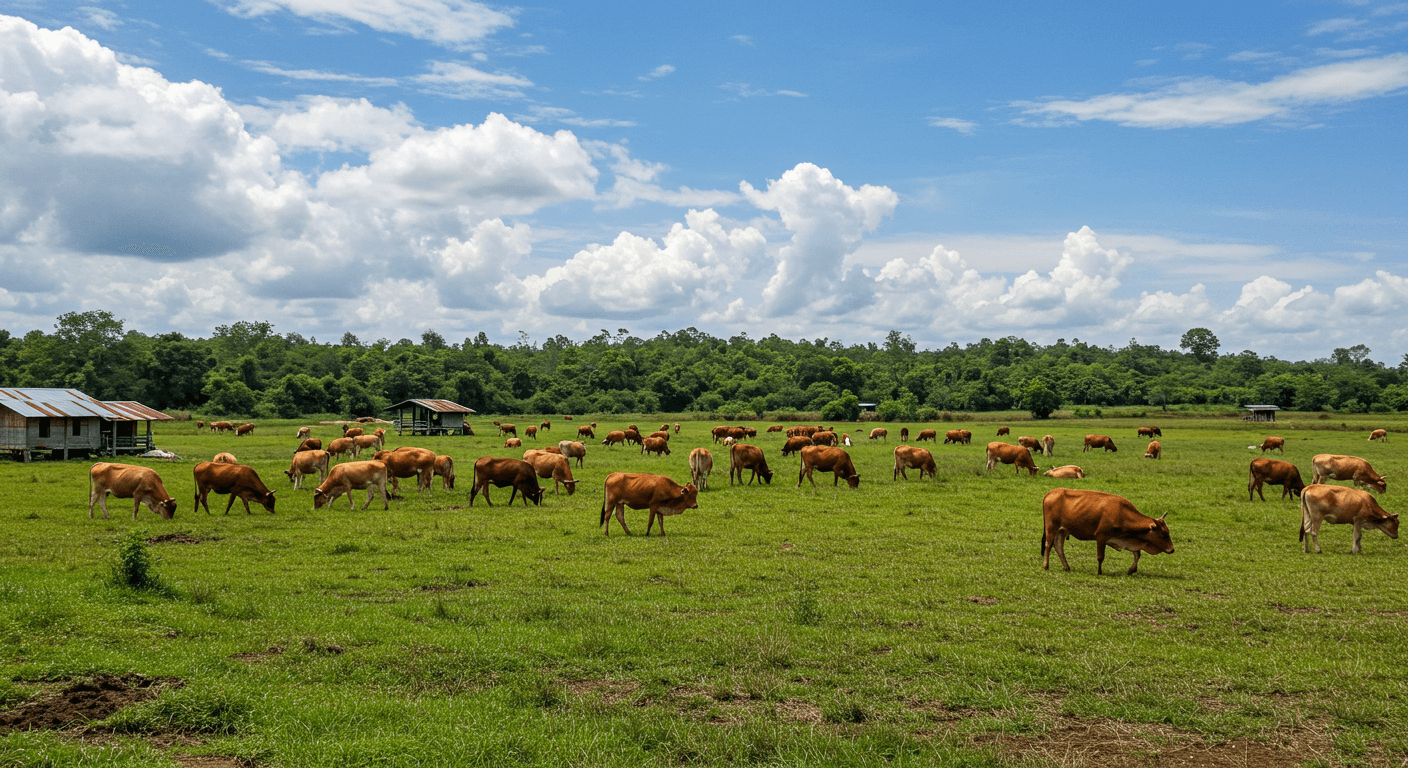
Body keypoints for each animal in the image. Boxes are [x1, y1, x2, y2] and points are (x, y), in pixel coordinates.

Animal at [1041, 488, 1174, 575]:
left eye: (1168, 532)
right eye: (1163, 534)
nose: (1172, 550)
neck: (1122, 513)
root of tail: (1051, 492)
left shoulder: (1129, 540)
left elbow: (1137, 554)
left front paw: (1131, 570)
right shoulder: (1101, 537)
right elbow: (1101, 557)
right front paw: (1099, 572)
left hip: (1062, 531)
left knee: (1058, 547)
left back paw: (1066, 567)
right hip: (1051, 528)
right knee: (1048, 545)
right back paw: (1046, 566)